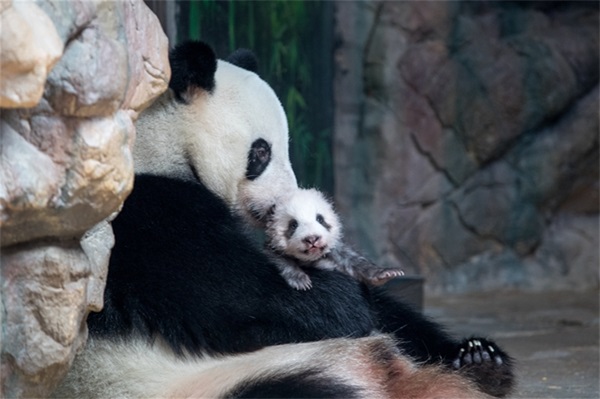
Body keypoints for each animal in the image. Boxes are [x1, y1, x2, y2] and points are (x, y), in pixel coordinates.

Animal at [54, 41, 512, 399]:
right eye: (261, 152)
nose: (289, 210)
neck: (151, 144)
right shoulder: (147, 219)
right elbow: (250, 298)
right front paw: (338, 294)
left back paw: (479, 361)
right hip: (203, 381)